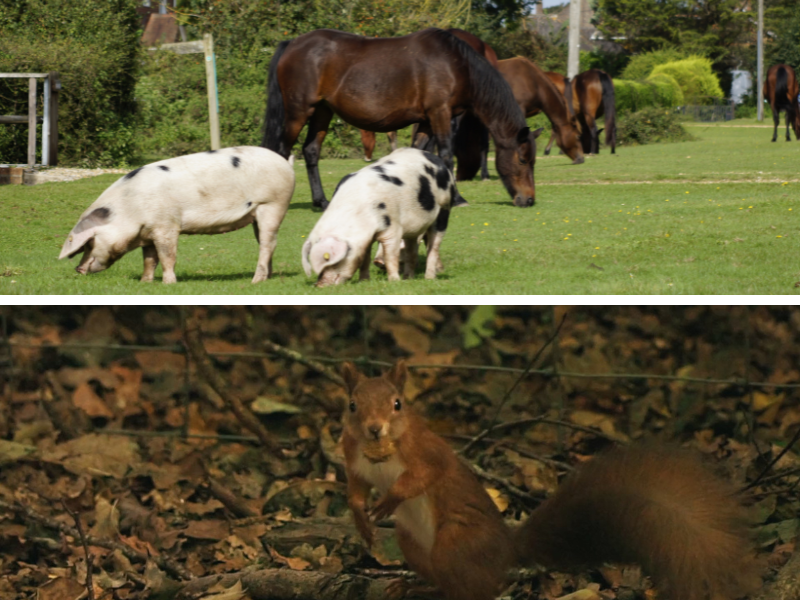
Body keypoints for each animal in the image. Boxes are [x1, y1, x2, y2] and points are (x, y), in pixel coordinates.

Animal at [58, 146, 295, 284]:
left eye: (90, 243)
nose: (78, 268)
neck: (129, 208)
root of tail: (286, 163)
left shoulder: (166, 225)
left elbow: (167, 255)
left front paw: (168, 283)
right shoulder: (148, 232)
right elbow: (149, 259)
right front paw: (145, 283)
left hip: (273, 204)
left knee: (268, 242)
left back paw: (256, 280)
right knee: (265, 242)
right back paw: (267, 278)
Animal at [263, 28, 537, 209]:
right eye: (523, 160)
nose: (529, 199)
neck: (456, 64)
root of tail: (293, 43)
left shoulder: (427, 120)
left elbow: (421, 154)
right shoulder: (440, 113)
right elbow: (446, 155)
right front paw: (457, 198)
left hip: (322, 111)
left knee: (311, 151)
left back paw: (320, 201)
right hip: (298, 112)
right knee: (280, 151)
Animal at [301, 147, 455, 286]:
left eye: (332, 262)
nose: (319, 285)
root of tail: (435, 158)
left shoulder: (393, 226)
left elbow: (390, 254)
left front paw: (394, 281)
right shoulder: (365, 239)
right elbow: (364, 258)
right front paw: (363, 281)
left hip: (444, 208)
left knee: (434, 245)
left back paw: (429, 277)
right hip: (413, 227)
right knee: (411, 247)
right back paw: (408, 278)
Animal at [341, 360, 762, 600]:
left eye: (397, 404)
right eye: (352, 405)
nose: (374, 429)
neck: (381, 450)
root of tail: (505, 550)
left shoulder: (427, 452)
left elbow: (425, 476)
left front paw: (389, 500)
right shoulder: (352, 457)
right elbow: (355, 488)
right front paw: (362, 518)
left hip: (455, 542)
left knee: (478, 590)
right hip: (413, 544)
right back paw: (416, 585)